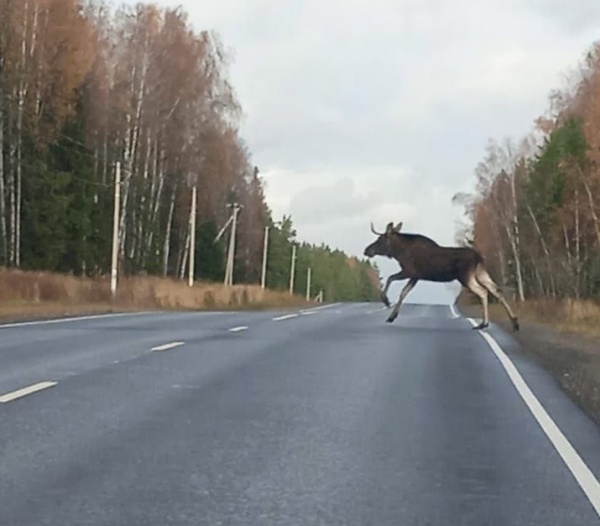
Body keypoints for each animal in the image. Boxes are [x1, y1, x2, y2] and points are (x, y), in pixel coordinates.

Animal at [364, 221, 516, 332]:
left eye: (380, 239)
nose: (367, 250)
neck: (398, 252)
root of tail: (479, 257)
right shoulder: (415, 277)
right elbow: (403, 292)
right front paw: (392, 315)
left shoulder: (409, 272)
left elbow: (391, 279)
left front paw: (386, 301)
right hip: (480, 273)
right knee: (496, 290)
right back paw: (514, 322)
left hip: (465, 277)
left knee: (483, 292)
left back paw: (484, 323)